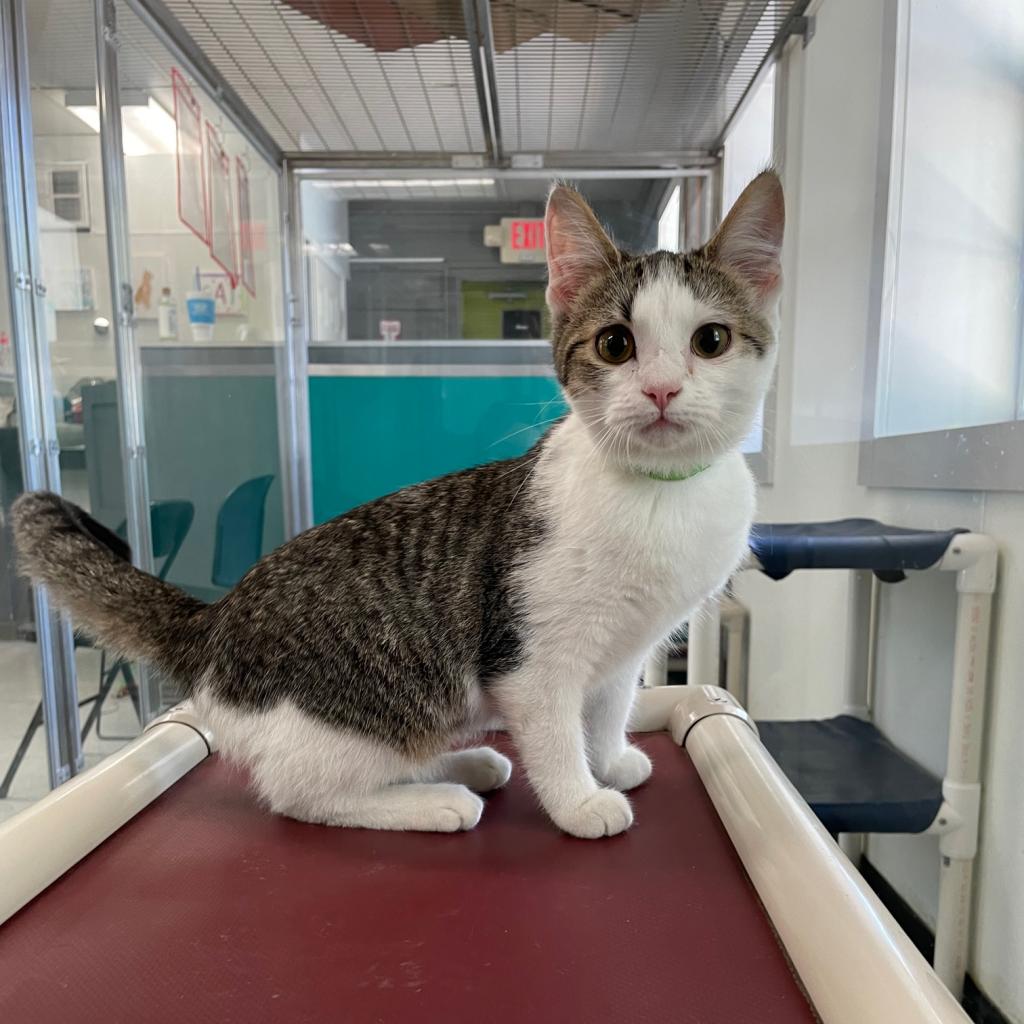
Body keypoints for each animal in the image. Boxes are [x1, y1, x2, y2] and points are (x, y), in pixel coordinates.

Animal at [12, 172, 782, 835]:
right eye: (616, 344)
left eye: (710, 340)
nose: (660, 389)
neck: (658, 493)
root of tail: (218, 616)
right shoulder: (532, 661)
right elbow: (556, 732)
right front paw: (578, 799)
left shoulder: (625, 651)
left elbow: (608, 708)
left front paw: (611, 760)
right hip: (359, 714)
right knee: (298, 792)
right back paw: (433, 799)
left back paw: (464, 763)